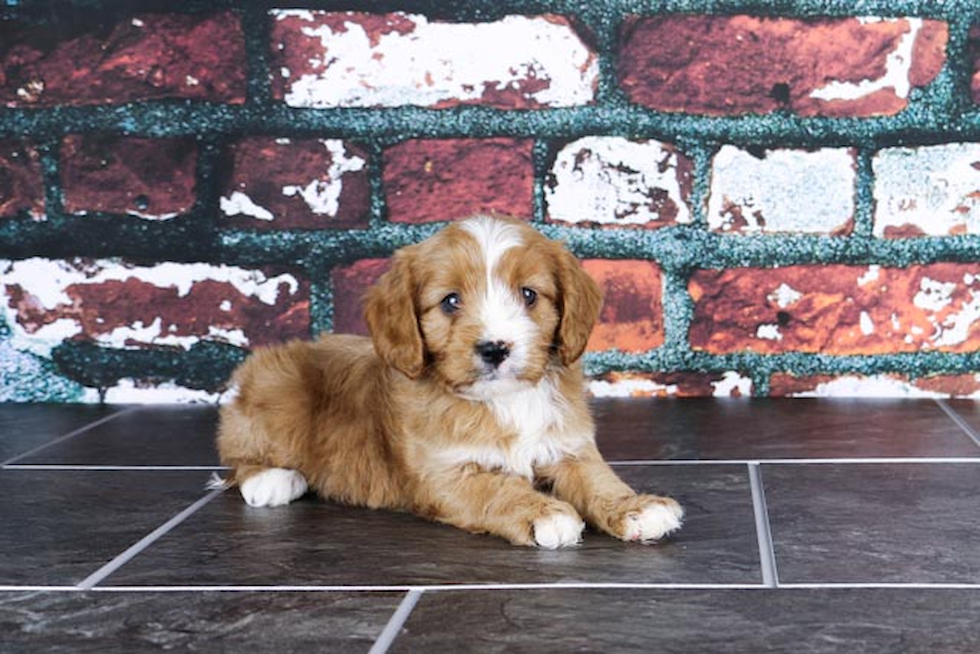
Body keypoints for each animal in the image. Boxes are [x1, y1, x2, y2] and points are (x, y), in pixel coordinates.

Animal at [219, 215, 684, 548]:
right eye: (450, 301)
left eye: (529, 294)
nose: (495, 348)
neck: (505, 400)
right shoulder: (444, 475)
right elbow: (496, 487)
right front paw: (545, 512)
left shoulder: (569, 447)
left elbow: (599, 479)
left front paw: (637, 508)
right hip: (278, 395)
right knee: (236, 457)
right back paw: (272, 480)